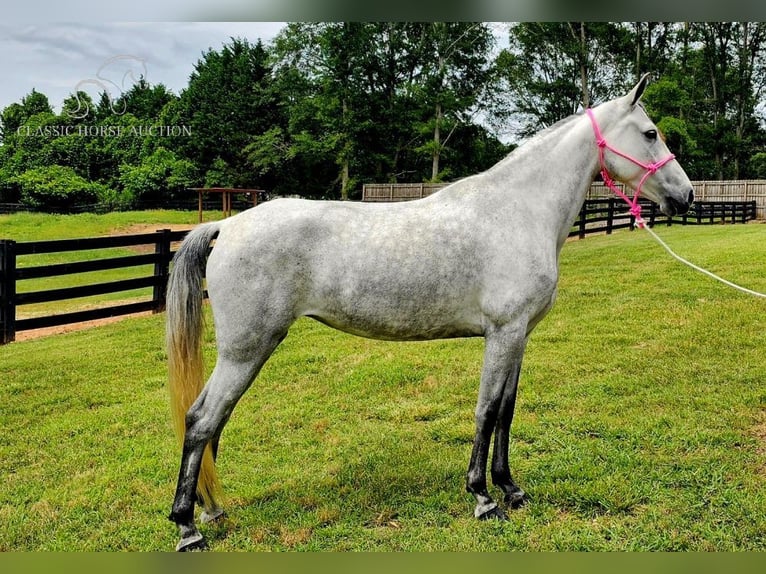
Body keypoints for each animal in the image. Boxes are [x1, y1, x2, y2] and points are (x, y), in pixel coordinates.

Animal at [166, 74, 696, 552]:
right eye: (651, 133)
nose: (686, 196)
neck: (517, 211)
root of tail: (227, 226)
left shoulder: (519, 337)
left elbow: (506, 412)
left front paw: (511, 489)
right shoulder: (502, 333)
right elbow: (487, 410)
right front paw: (483, 497)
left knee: (212, 420)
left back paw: (211, 510)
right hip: (246, 350)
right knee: (201, 420)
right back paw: (188, 528)